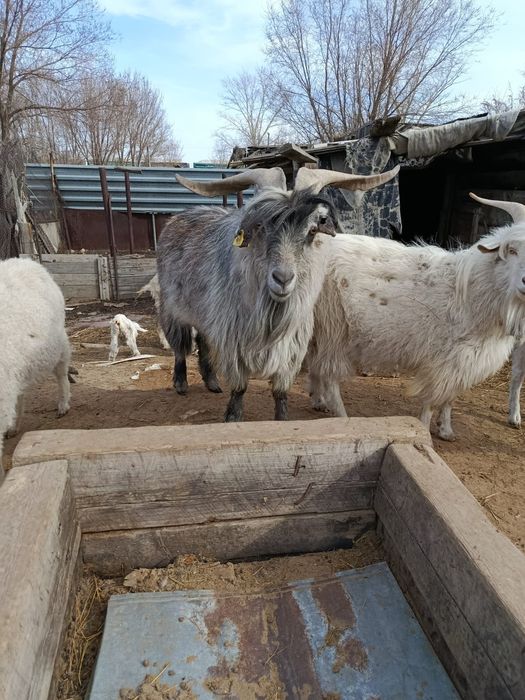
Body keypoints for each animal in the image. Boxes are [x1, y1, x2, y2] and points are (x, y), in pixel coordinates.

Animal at [157, 165, 399, 421]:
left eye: (314, 228)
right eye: (260, 226)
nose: (282, 279)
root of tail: (179, 217)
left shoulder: (292, 348)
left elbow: (280, 392)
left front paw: (281, 419)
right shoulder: (232, 340)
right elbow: (239, 388)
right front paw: (232, 418)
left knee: (202, 341)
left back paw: (212, 382)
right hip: (172, 307)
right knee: (180, 346)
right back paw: (181, 383)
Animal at [307, 193, 525, 440]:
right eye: (512, 250)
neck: (471, 291)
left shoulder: (461, 361)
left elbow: (450, 397)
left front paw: (446, 429)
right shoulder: (443, 359)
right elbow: (432, 400)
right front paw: (426, 428)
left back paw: (318, 401)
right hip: (333, 325)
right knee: (329, 376)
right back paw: (342, 417)